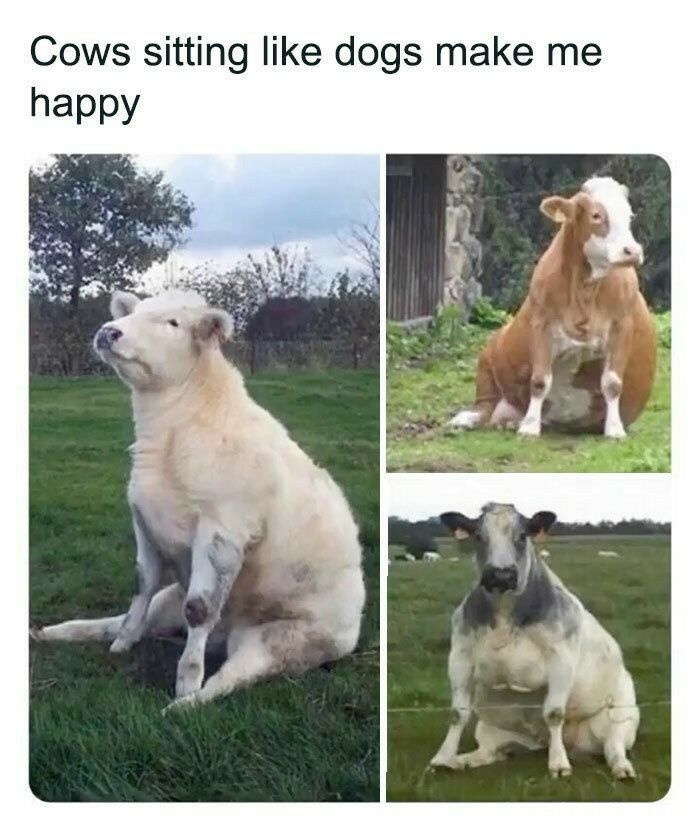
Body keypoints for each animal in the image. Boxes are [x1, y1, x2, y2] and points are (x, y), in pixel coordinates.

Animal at [29, 288, 364, 708]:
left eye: (173, 323)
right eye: (133, 312)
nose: (109, 331)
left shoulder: (223, 531)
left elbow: (201, 610)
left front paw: (187, 680)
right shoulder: (143, 520)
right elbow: (142, 583)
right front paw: (123, 642)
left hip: (282, 640)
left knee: (233, 677)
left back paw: (185, 706)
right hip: (171, 601)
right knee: (131, 619)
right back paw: (58, 632)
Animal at [452, 178, 660, 438]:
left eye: (629, 215)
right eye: (596, 215)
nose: (632, 251)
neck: (584, 292)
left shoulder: (621, 327)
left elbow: (612, 383)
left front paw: (614, 429)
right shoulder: (540, 325)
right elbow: (540, 380)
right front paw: (530, 427)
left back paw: (510, 422)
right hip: (488, 357)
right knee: (485, 405)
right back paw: (469, 419)